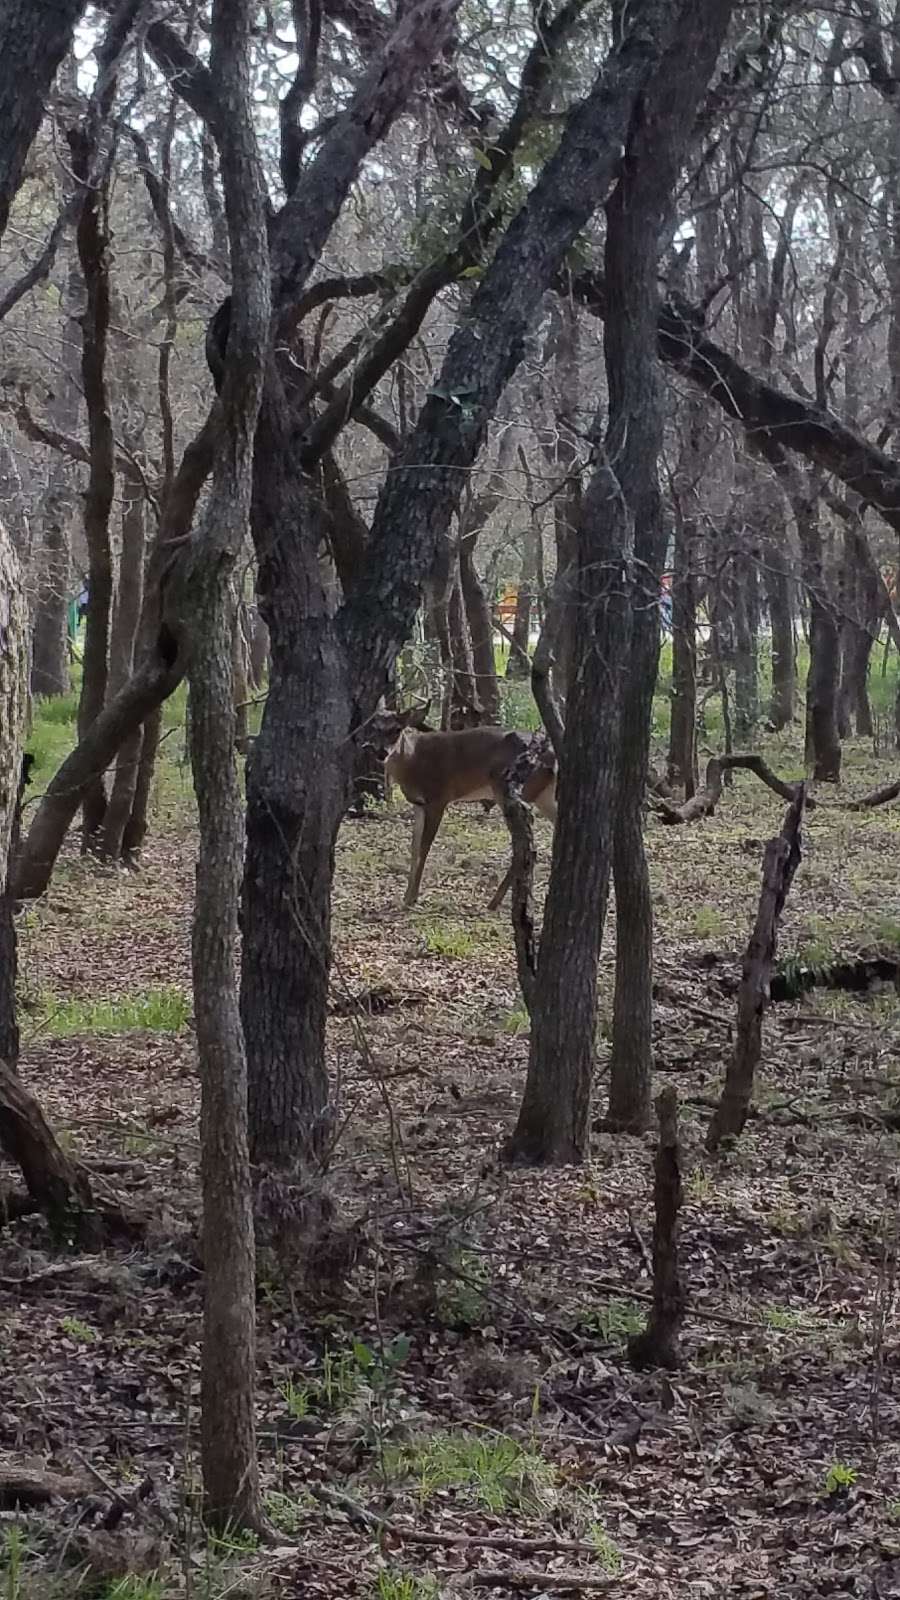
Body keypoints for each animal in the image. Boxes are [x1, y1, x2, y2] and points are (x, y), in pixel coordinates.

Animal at [357, 707, 554, 908]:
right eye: (374, 728)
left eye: (397, 729)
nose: (382, 753)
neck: (413, 760)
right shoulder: (419, 804)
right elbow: (414, 847)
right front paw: (406, 895)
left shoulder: (438, 798)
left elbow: (424, 847)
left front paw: (412, 897)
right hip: (542, 795)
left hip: (512, 789)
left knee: (524, 839)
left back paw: (494, 901)